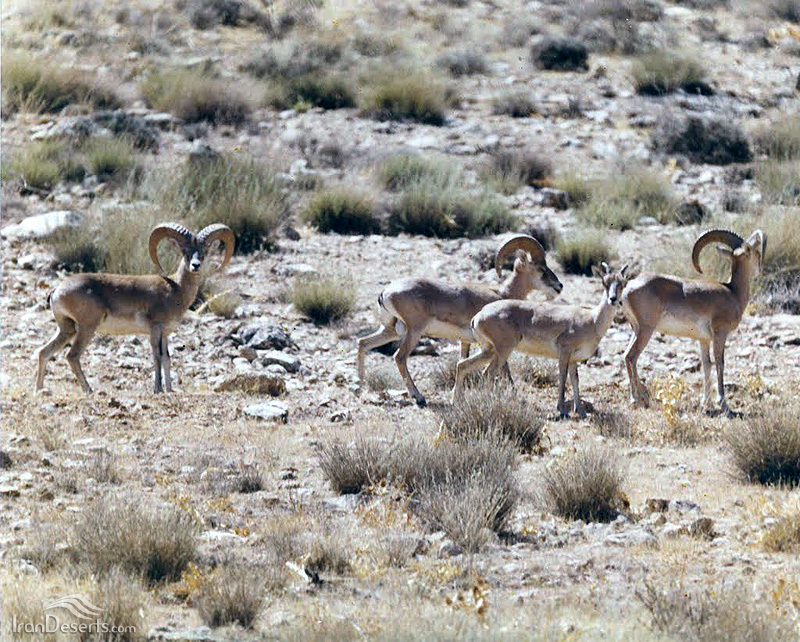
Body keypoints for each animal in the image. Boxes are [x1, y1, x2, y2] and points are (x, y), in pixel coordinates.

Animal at [35, 223, 234, 394]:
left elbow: (167, 359)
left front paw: (170, 390)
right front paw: (157, 389)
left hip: (67, 329)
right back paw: (89, 390)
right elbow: (157, 357)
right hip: (86, 328)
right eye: (184, 251)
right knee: (72, 356)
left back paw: (39, 390)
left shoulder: (165, 334)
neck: (175, 289)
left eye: (204, 251)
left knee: (44, 352)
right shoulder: (155, 329)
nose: (195, 266)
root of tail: (57, 291)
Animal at [357, 235, 563, 406]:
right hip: (413, 332)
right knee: (399, 357)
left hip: (390, 330)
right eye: (541, 270)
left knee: (363, 343)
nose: (559, 286)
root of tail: (386, 292)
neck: (502, 294)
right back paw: (419, 397)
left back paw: (360, 387)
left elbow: (462, 362)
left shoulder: (465, 342)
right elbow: (505, 370)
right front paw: (514, 395)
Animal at [452, 262, 629, 418]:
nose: (613, 299)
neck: (591, 320)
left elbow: (575, 380)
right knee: (487, 373)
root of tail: (478, 316)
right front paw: (562, 410)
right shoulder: (564, 353)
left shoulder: (573, 360)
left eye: (622, 283)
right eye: (604, 282)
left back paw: (457, 402)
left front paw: (581, 411)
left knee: (463, 365)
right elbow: (562, 376)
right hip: (503, 351)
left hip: (489, 351)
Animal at [621, 228, 766, 416]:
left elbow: (707, 365)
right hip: (646, 330)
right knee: (631, 357)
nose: (760, 270)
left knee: (626, 356)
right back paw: (637, 400)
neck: (732, 292)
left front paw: (707, 402)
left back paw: (643, 398)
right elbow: (720, 363)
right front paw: (723, 404)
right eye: (755, 252)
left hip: (636, 329)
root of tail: (627, 289)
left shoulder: (703, 340)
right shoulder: (720, 335)